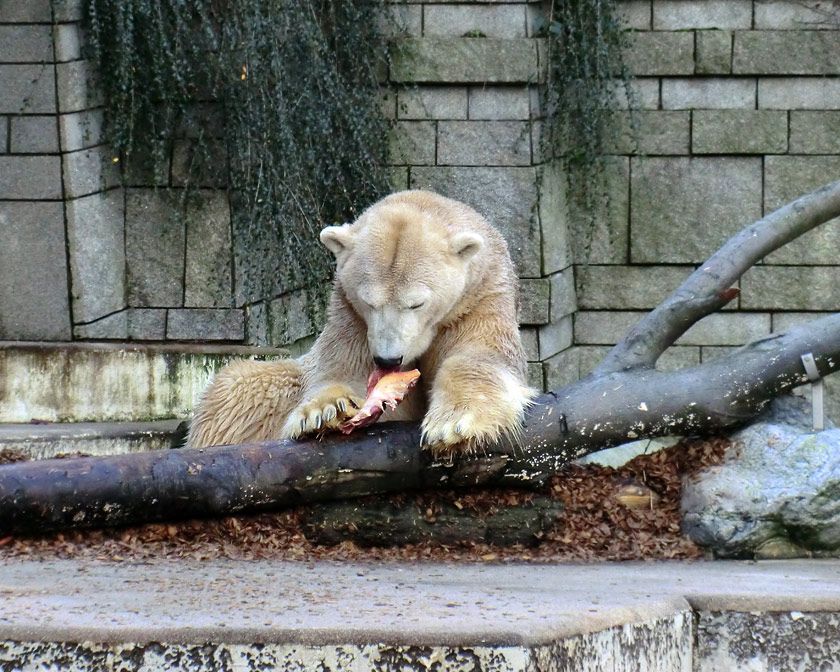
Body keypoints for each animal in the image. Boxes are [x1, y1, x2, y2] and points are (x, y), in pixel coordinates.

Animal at [187, 192, 536, 460]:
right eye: (370, 302)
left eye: (417, 303)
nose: (388, 359)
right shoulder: (350, 318)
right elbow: (344, 372)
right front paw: (325, 412)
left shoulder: (480, 300)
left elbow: (480, 358)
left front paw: (454, 425)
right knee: (238, 388)